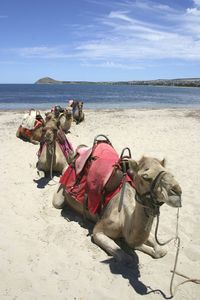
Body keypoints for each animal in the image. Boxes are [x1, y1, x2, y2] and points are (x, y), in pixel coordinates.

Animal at [52, 138, 182, 262]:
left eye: (170, 173)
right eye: (146, 177)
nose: (177, 191)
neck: (124, 217)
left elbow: (161, 251)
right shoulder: (98, 231)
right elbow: (125, 258)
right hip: (60, 193)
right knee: (58, 203)